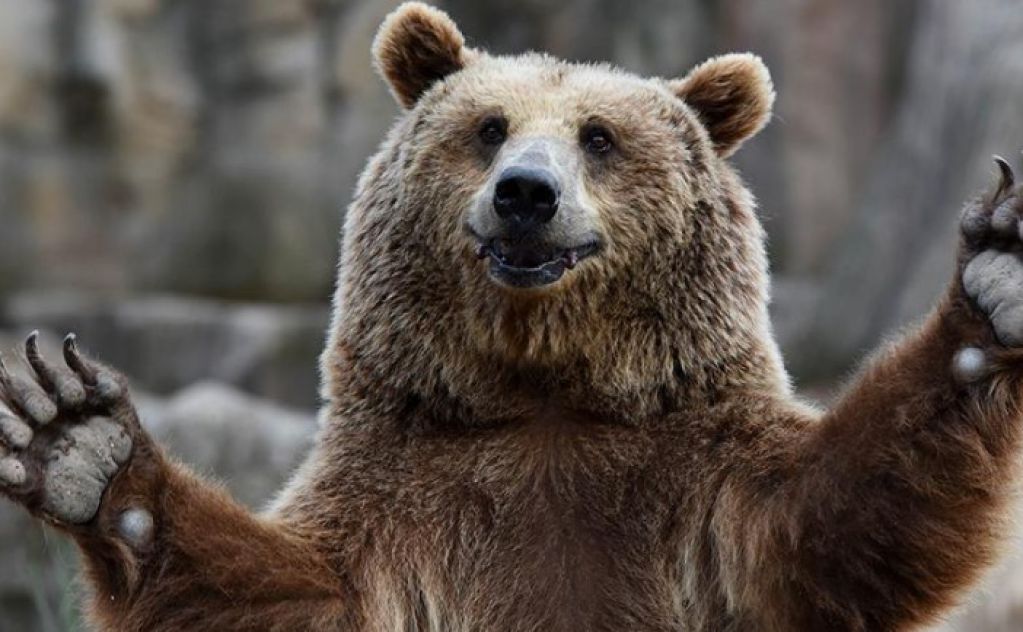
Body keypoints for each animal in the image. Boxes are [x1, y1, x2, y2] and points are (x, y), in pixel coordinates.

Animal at [3, 2, 1023, 630]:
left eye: (598, 138)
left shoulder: (690, 477)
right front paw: (82, 441)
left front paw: (995, 282)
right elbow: (294, 592)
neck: (543, 388)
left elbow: (836, 519)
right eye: (488, 127)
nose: (525, 194)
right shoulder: (410, 495)